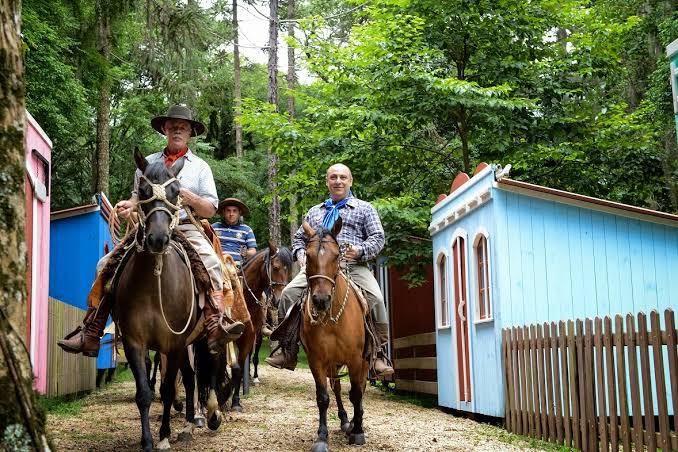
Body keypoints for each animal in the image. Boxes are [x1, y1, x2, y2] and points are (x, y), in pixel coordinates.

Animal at [231, 242, 292, 412]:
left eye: (289, 269)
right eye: (276, 267)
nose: (278, 300)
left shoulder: (251, 335)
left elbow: (240, 367)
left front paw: (235, 402)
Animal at [300, 217, 370, 450]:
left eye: (337, 255)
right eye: (308, 255)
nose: (321, 300)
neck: (332, 320)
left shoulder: (356, 359)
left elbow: (356, 393)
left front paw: (358, 432)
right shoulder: (316, 360)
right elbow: (323, 397)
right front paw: (322, 436)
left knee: (359, 389)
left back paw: (355, 422)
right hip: (333, 363)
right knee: (337, 387)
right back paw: (344, 419)